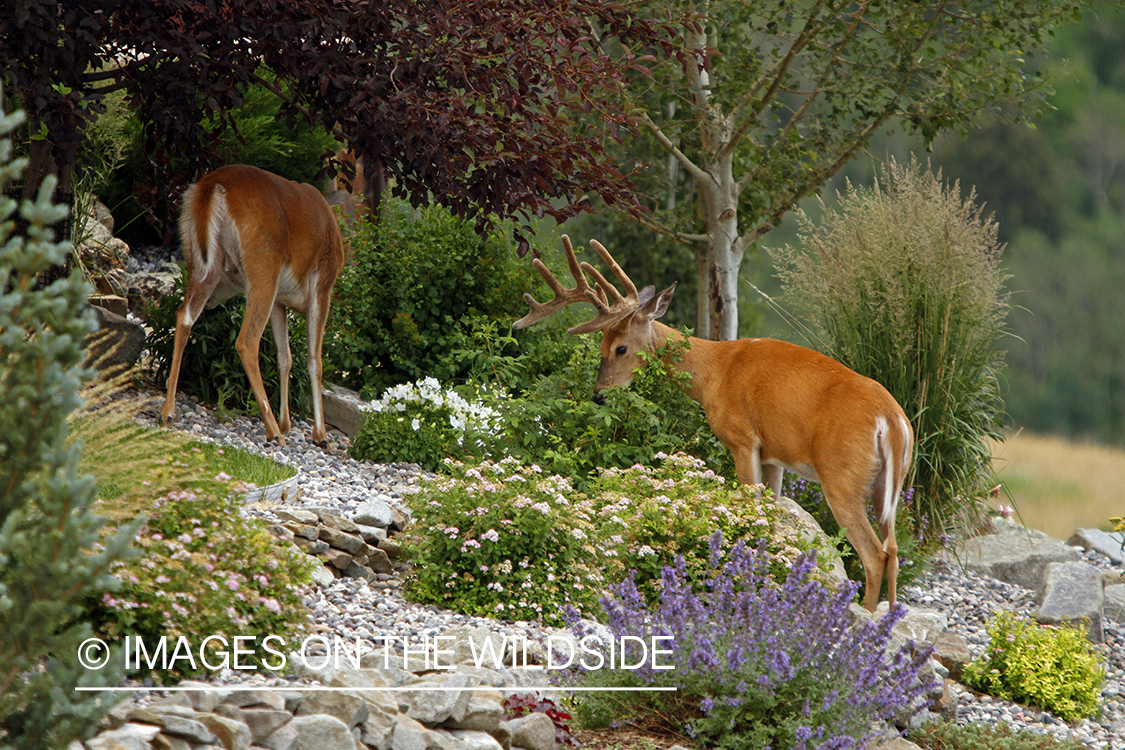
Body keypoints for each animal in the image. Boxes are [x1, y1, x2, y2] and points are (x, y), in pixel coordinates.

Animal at [513, 235, 913, 611]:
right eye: (600, 347)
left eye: (619, 348)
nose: (598, 395)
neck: (713, 374)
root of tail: (892, 420)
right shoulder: (774, 456)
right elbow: (770, 519)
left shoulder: (741, 439)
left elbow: (753, 512)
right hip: (887, 482)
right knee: (893, 550)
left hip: (841, 474)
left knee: (875, 554)